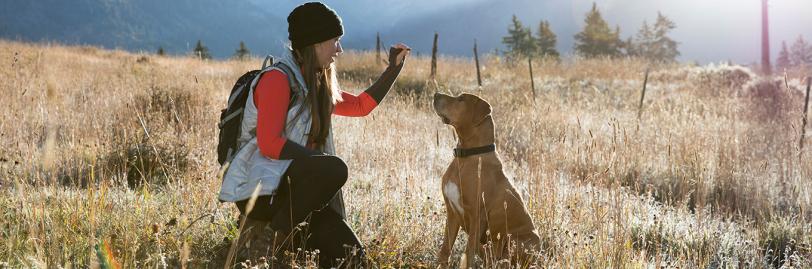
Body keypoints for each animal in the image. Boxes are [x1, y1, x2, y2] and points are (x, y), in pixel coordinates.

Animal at [432, 92, 540, 268]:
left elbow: (468, 256)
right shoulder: (452, 213)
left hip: (518, 241)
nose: (436, 94)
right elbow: (445, 251)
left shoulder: (477, 216)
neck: (466, 157)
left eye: (461, 99)